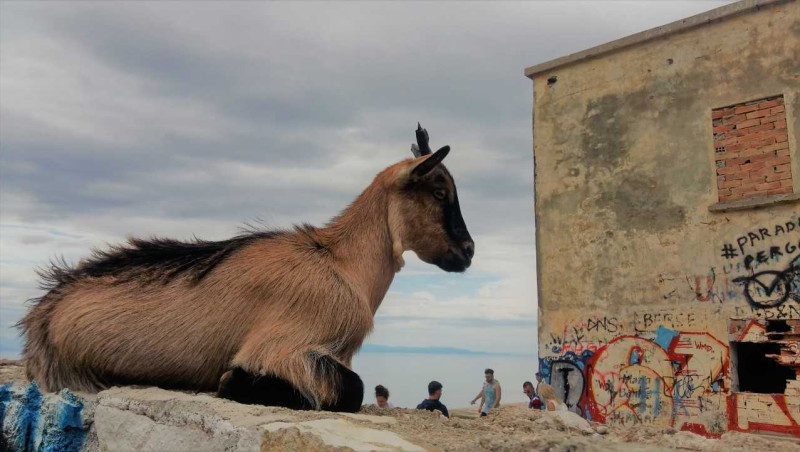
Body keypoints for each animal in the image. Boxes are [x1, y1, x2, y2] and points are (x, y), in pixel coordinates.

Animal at [20, 125, 476, 412]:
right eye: (439, 192)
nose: (468, 250)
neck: (342, 264)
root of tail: (41, 319)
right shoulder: (284, 344)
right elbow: (353, 388)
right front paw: (230, 383)